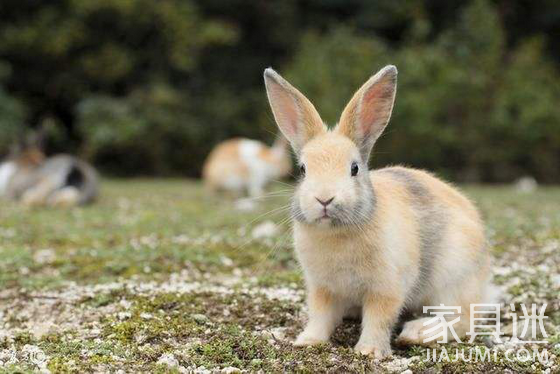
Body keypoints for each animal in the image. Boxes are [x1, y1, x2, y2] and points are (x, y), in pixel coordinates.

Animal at [262, 65, 490, 358]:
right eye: (303, 169)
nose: (324, 199)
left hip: (453, 277)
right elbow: (320, 316)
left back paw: (417, 333)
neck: (336, 234)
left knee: (463, 318)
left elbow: (378, 318)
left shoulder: (386, 288)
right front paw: (307, 341)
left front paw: (368, 351)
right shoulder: (322, 288)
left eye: (354, 168)